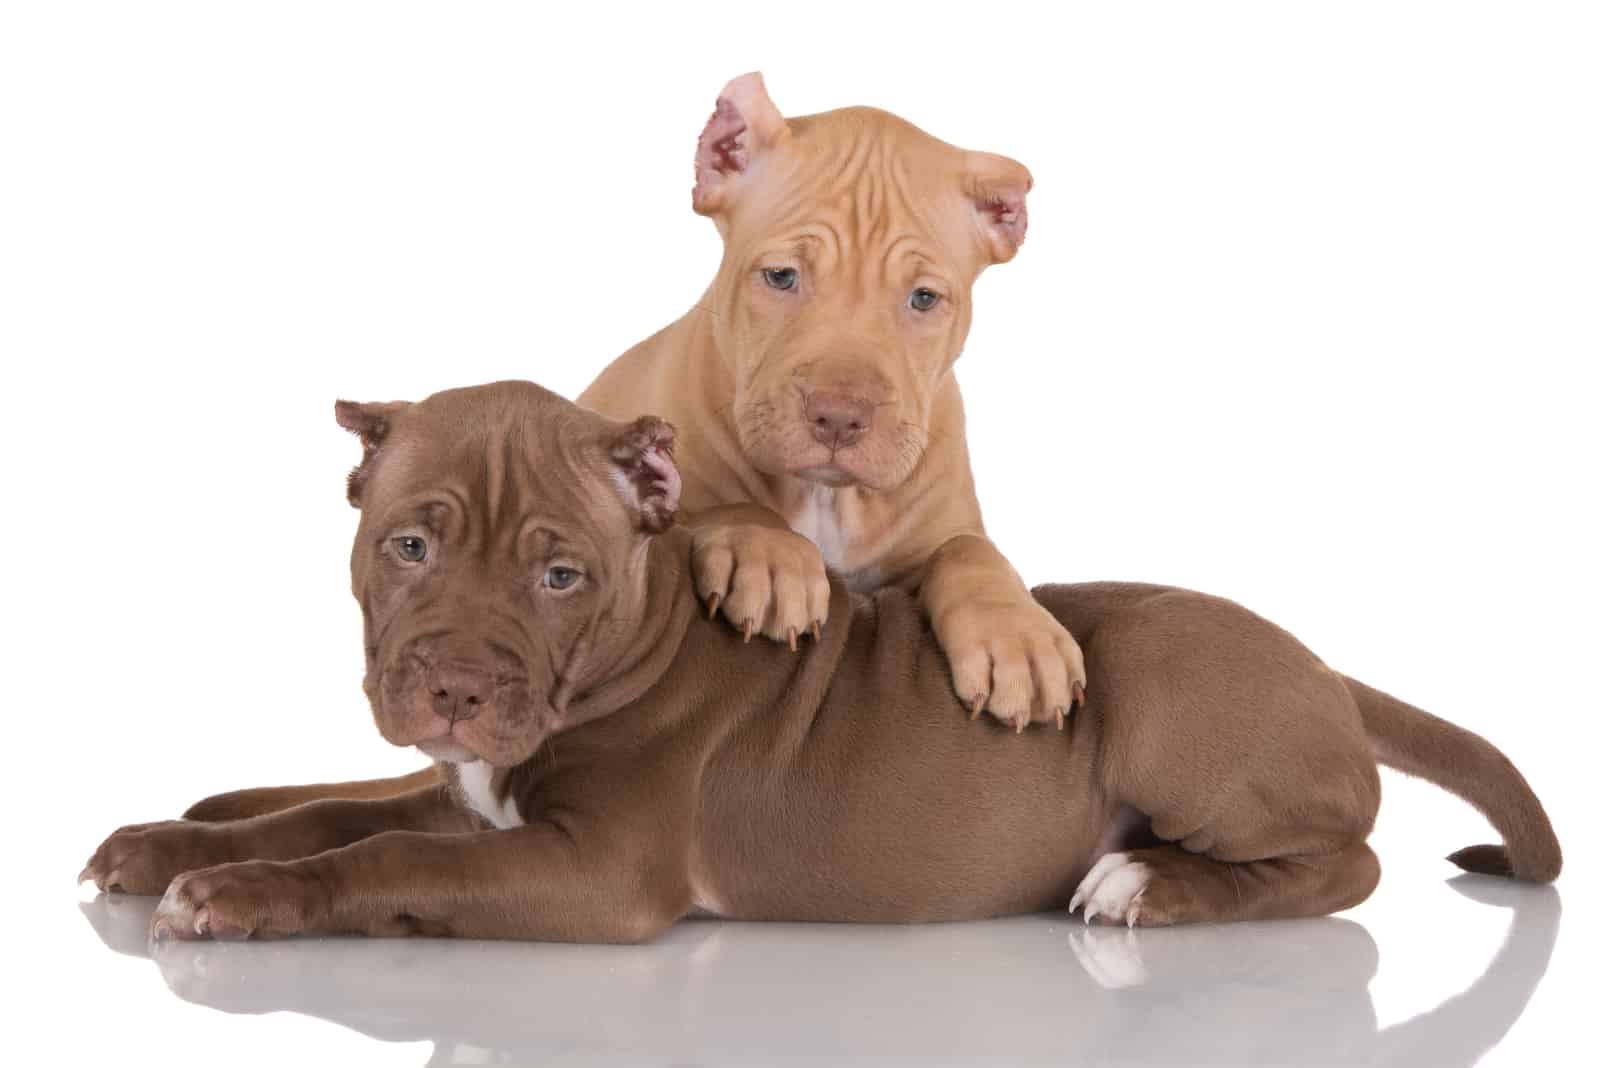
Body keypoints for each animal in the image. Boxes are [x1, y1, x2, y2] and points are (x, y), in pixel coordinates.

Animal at [81, 385, 1555, 940]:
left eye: (561, 575)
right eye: (406, 546)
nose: (452, 690)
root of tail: (1323, 662)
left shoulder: (590, 871)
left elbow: (382, 856)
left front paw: (237, 895)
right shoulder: (475, 795)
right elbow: (329, 806)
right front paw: (175, 840)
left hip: (1169, 688)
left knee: (1345, 863)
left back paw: (1148, 883)